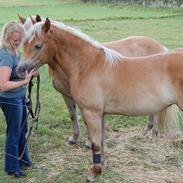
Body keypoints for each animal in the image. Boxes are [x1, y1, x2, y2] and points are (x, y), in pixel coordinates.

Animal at [16, 17, 182, 182]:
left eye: (38, 45)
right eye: (24, 44)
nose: (20, 70)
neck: (88, 66)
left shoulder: (92, 113)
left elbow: (95, 143)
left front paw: (94, 172)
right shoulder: (101, 114)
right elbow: (101, 140)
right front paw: (102, 164)